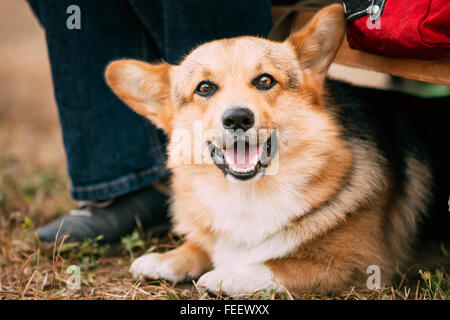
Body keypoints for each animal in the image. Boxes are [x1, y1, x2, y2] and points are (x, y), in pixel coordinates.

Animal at [103, 5, 448, 296]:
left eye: (265, 80)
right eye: (205, 88)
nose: (237, 118)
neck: (248, 195)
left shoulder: (360, 262)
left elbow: (278, 266)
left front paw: (228, 275)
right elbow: (205, 245)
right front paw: (167, 259)